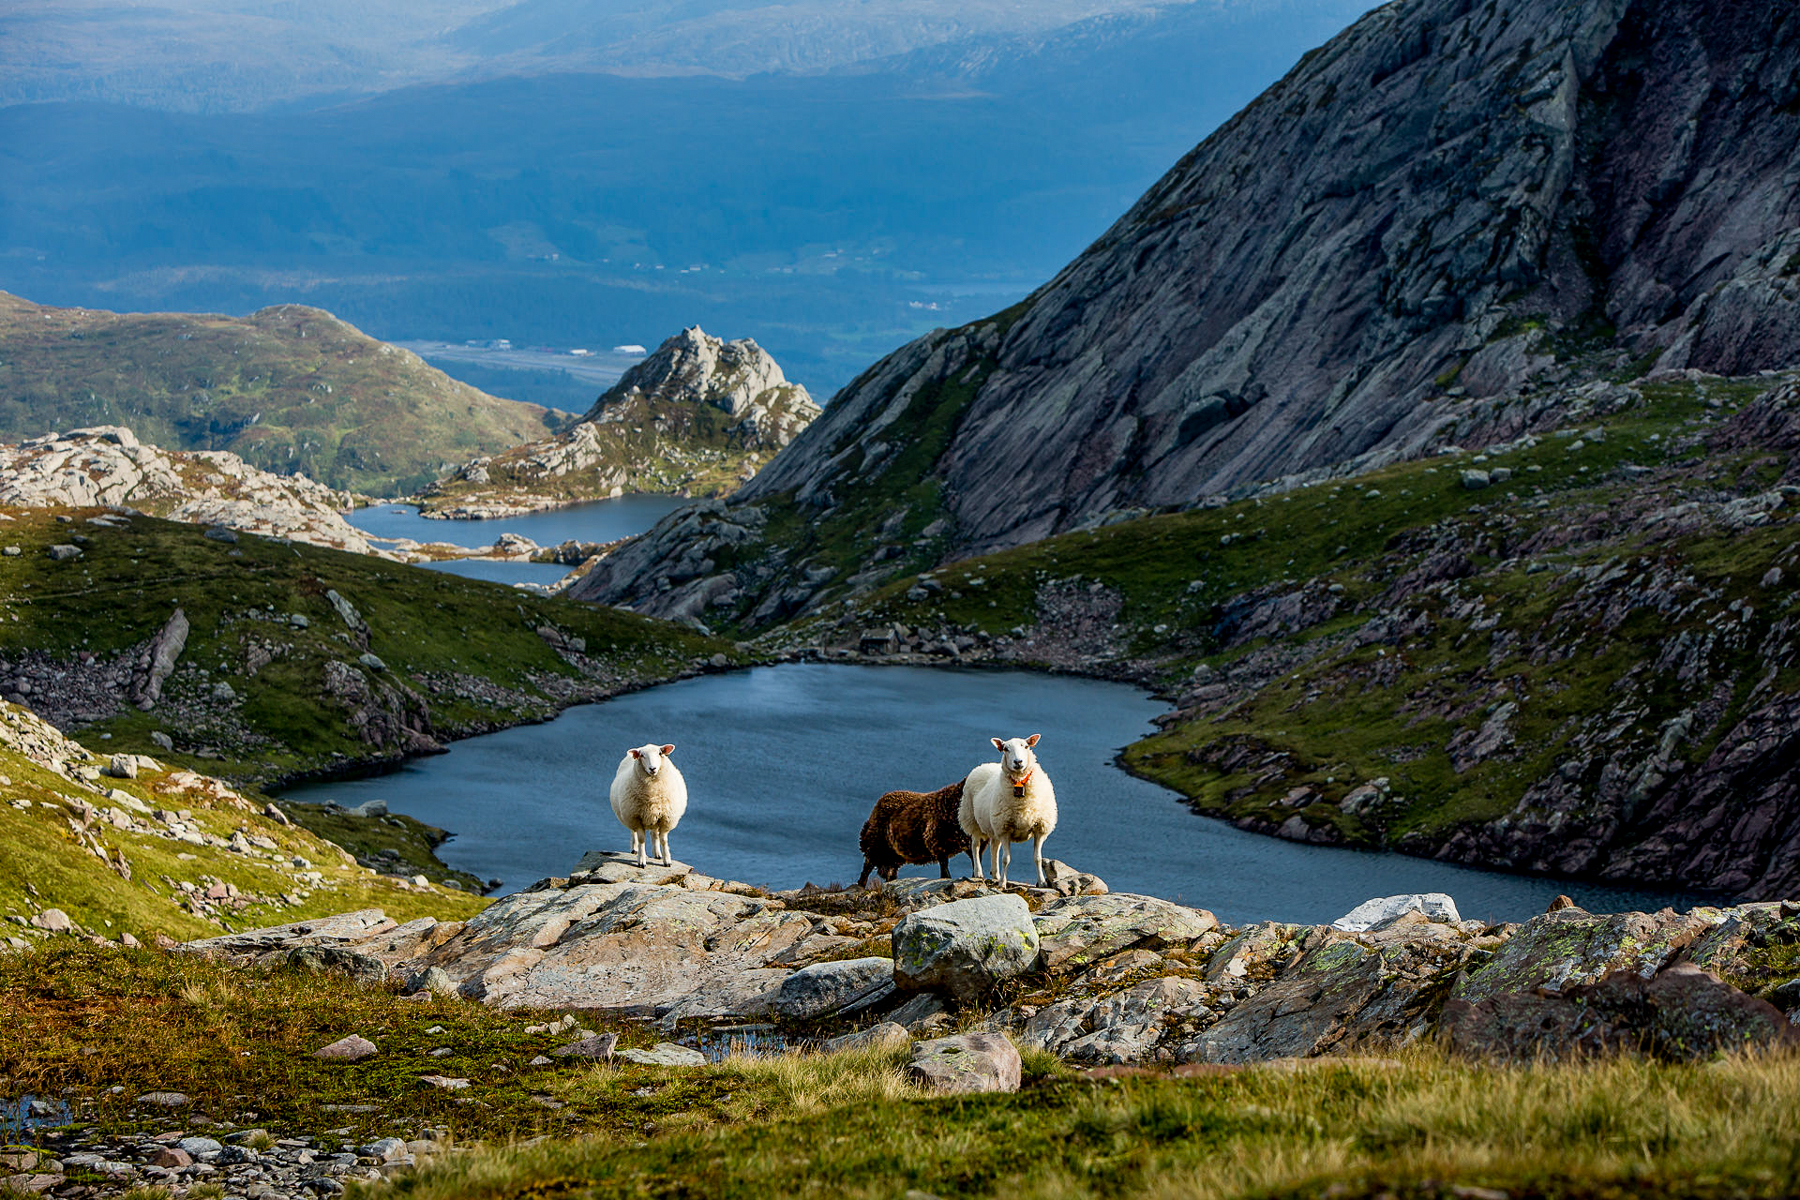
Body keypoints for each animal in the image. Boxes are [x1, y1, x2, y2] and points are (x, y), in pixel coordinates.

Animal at [959, 733, 1057, 887]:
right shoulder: (1005, 829)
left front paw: (1041, 882)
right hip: (972, 819)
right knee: (975, 846)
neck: (1019, 782)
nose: (1018, 762)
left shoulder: (1040, 828)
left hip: (993, 825)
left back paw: (995, 874)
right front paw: (1002, 884)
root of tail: (985, 765)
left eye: (1026, 746)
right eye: (1006, 749)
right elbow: (1006, 859)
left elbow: (1038, 858)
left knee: (994, 847)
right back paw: (979, 873)